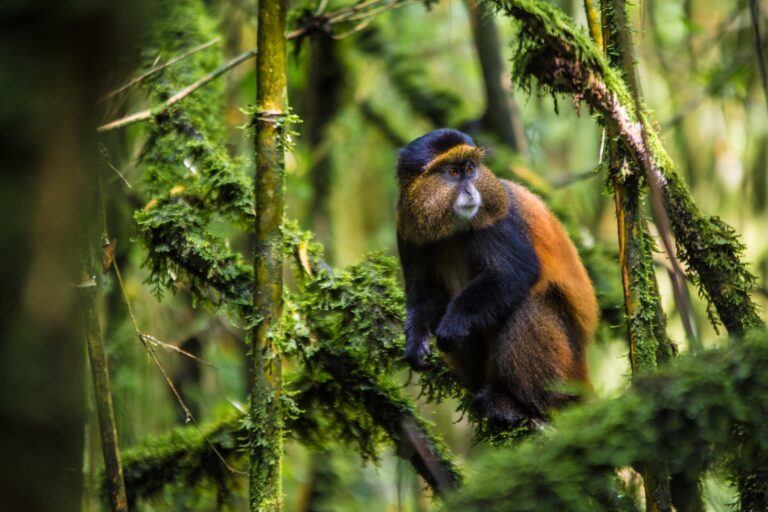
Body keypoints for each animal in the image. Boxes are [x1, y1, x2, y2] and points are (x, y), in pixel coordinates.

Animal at [396, 128, 598, 425]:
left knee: (529, 304)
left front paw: (453, 324)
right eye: (453, 172)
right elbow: (424, 293)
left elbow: (514, 273)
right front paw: (416, 340)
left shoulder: (496, 220)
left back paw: (520, 403)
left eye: (470, 169)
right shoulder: (407, 231)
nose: (471, 191)